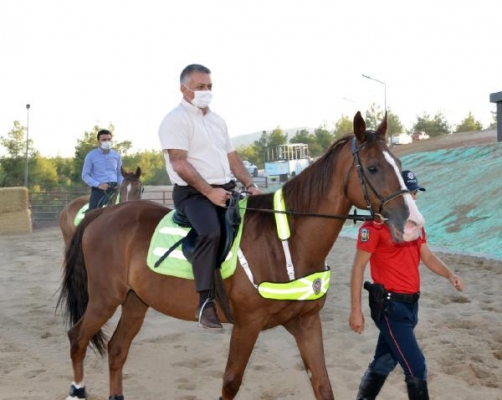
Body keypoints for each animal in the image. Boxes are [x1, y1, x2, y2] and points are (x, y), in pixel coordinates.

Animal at [56, 112, 424, 400]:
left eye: (399, 164)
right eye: (373, 168)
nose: (413, 224)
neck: (285, 240)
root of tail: (102, 214)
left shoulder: (306, 323)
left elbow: (323, 385)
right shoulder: (247, 325)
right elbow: (231, 383)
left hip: (136, 301)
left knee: (117, 349)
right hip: (105, 299)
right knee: (76, 339)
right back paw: (77, 390)